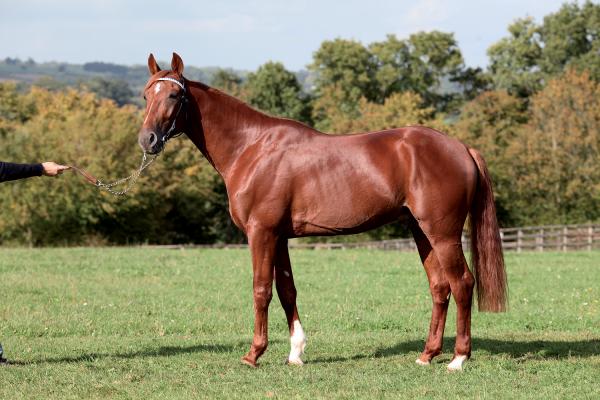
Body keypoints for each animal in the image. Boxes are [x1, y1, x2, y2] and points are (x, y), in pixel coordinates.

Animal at [139, 53, 506, 372]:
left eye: (174, 94)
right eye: (146, 95)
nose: (148, 140)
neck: (253, 148)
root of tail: (462, 148)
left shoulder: (261, 233)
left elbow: (261, 289)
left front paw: (253, 354)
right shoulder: (280, 237)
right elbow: (287, 291)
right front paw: (295, 353)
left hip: (443, 234)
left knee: (462, 283)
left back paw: (458, 359)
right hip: (421, 232)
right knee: (439, 287)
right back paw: (427, 355)